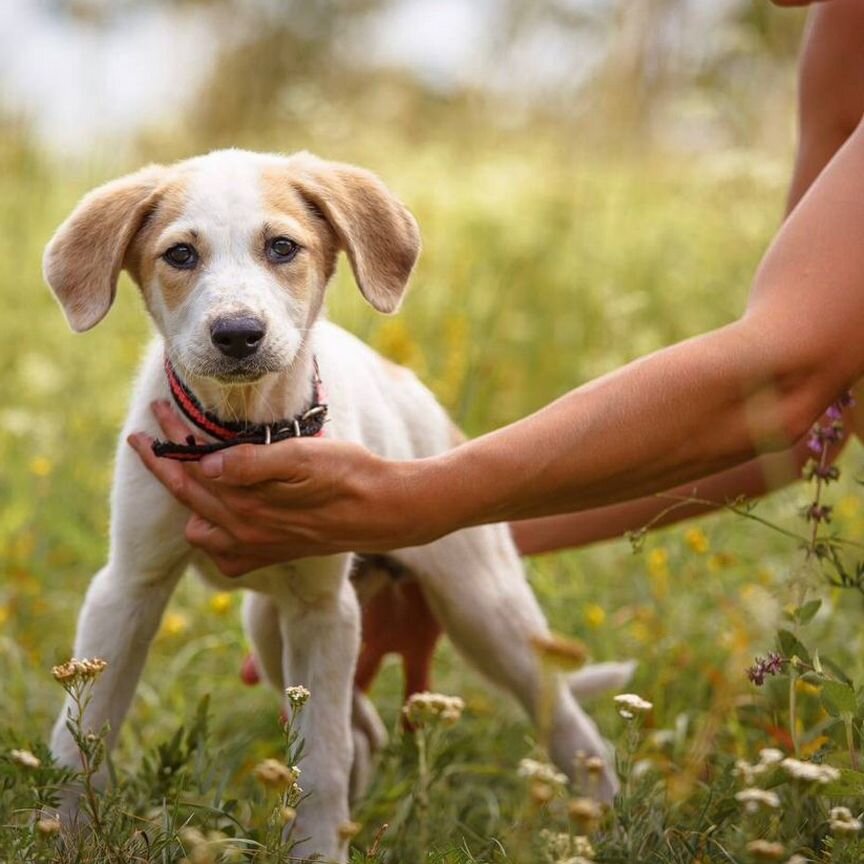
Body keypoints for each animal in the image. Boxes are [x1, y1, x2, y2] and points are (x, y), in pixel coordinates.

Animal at [44, 148, 628, 856]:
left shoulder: (324, 609)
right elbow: (83, 734)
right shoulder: (129, 586)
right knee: (363, 730)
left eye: (282, 246)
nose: (237, 334)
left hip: (481, 607)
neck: (242, 429)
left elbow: (319, 761)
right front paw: (65, 836)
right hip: (270, 631)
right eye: (180, 254)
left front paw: (318, 851)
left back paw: (602, 819)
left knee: (566, 720)